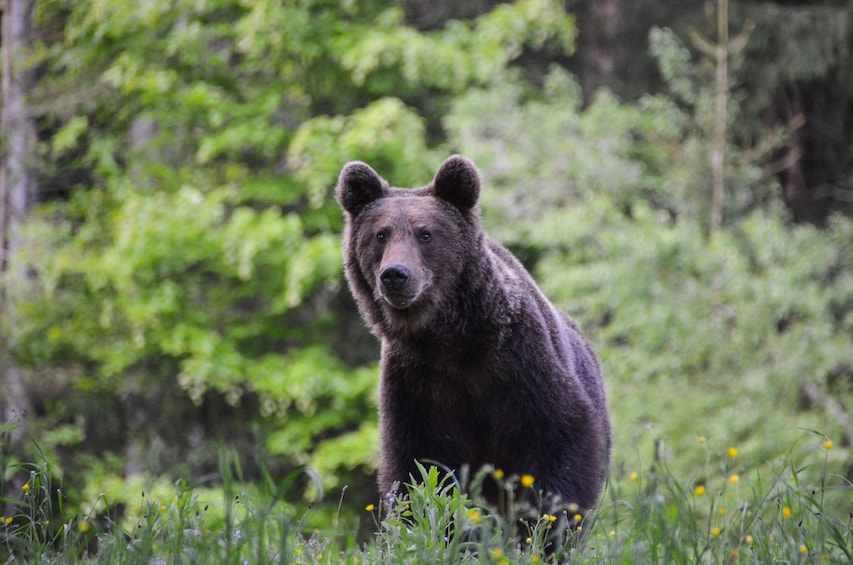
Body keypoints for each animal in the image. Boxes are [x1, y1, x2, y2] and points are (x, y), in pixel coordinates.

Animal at [336, 154, 608, 512]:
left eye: (425, 234)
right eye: (380, 235)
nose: (395, 275)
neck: (448, 337)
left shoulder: (519, 362)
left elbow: (561, 435)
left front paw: (548, 518)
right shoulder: (418, 384)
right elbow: (418, 467)